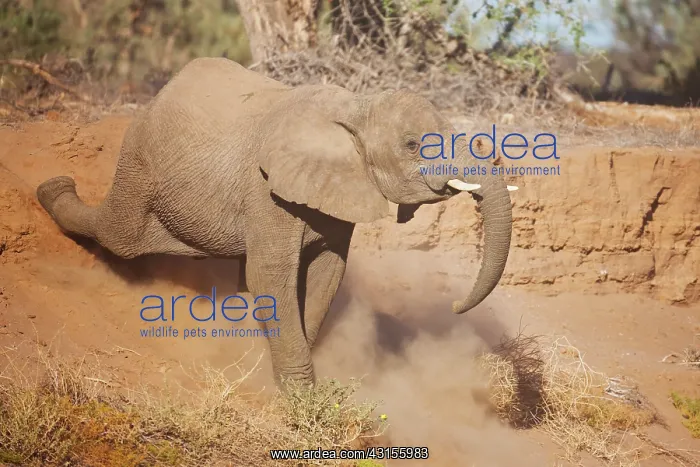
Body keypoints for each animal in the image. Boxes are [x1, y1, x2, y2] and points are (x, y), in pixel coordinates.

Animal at [36, 57, 514, 388]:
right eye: (413, 145)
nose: (455, 306)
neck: (356, 107)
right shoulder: (266, 187)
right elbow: (272, 274)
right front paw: (299, 396)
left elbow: (325, 273)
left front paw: (271, 362)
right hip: (139, 157)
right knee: (119, 235)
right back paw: (52, 189)